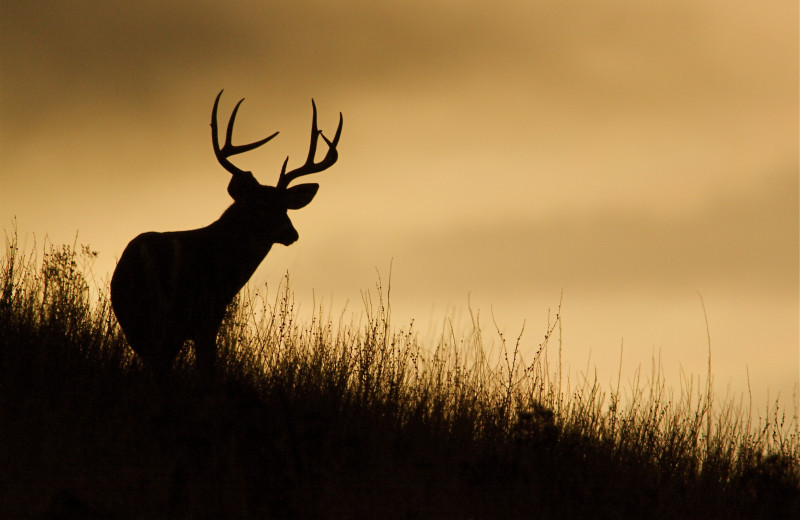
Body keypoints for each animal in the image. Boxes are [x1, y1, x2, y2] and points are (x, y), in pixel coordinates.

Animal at [109, 91, 340, 378]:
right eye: (260, 205)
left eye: (285, 206)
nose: (291, 233)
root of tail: (143, 256)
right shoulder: (208, 317)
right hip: (174, 316)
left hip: (135, 320)